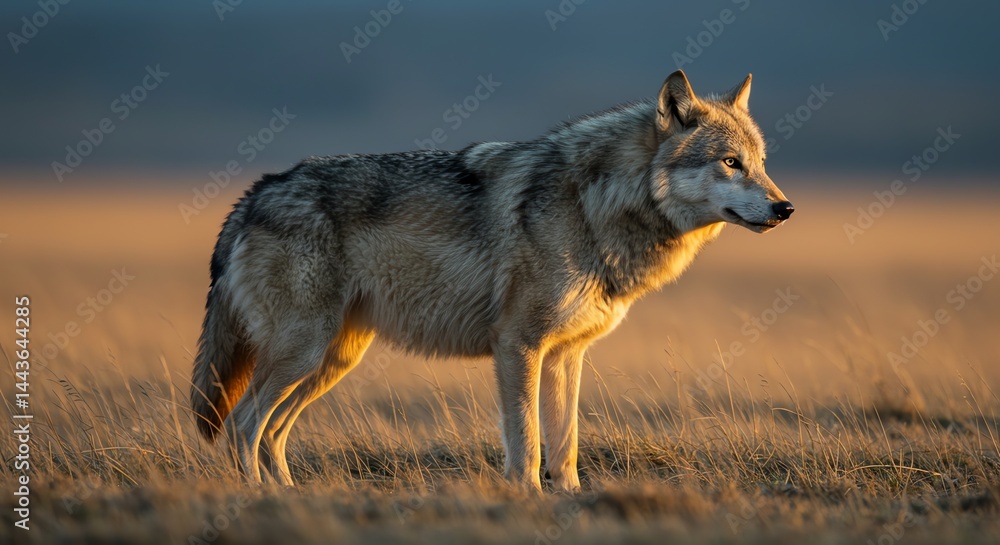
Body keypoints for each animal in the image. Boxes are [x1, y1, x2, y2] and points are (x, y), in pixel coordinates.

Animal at [191, 70, 793, 491]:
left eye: (762, 163)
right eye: (730, 163)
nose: (785, 208)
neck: (594, 205)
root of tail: (255, 193)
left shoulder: (566, 355)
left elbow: (565, 447)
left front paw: (571, 501)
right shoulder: (518, 346)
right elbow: (526, 443)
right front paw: (527, 499)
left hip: (331, 361)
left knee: (272, 433)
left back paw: (289, 495)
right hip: (304, 353)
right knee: (244, 424)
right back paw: (259, 498)